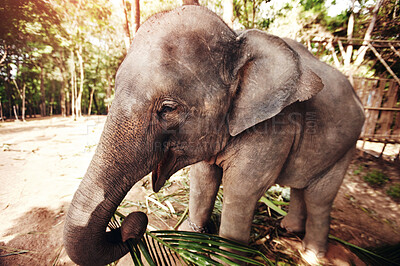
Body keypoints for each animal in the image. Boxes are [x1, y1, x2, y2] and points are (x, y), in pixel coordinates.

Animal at [63, 5, 366, 264]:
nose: (138, 219)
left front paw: (227, 259)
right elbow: (202, 178)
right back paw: (288, 228)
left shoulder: (275, 128)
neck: (236, 37)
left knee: (319, 197)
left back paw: (312, 254)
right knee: (301, 185)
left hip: (346, 147)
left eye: (168, 108)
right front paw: (190, 234)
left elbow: (241, 191)